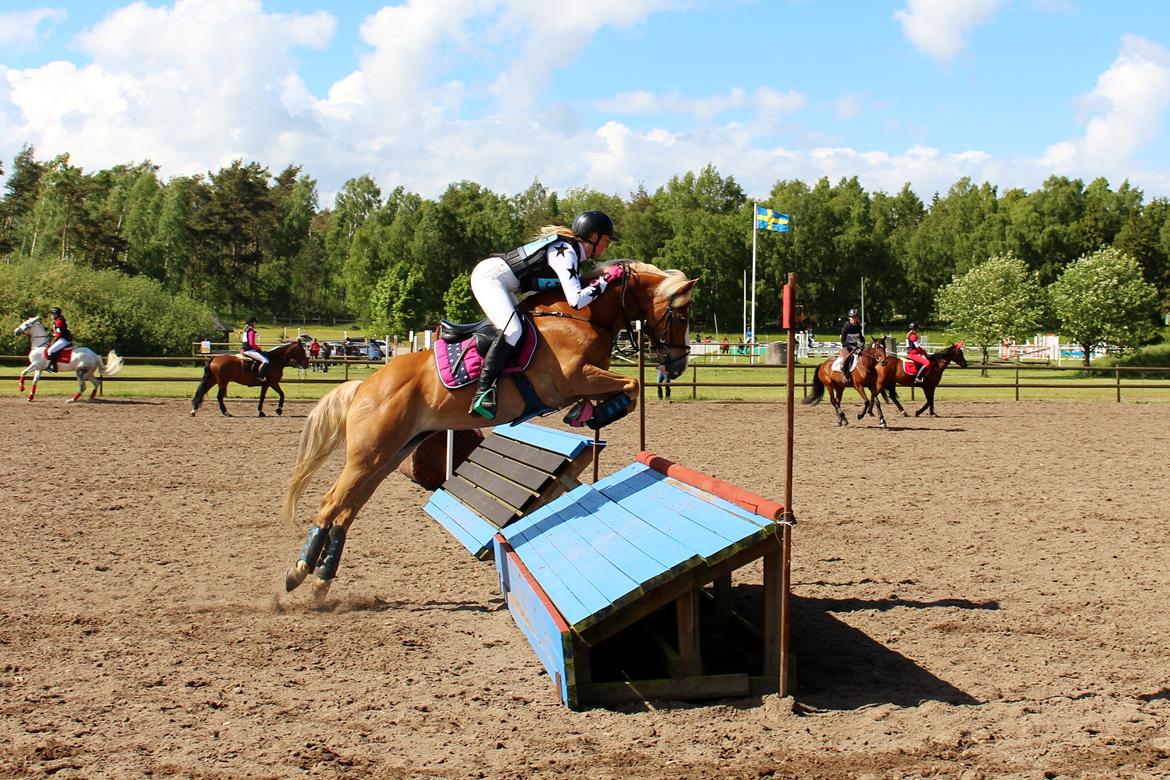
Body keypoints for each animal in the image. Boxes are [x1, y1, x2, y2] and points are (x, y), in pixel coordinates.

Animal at [278, 261, 697, 599]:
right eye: (681, 316)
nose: (676, 365)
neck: (580, 316)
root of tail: (365, 386)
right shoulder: (572, 378)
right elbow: (633, 385)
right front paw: (595, 413)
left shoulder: (584, 381)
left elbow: (626, 389)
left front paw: (590, 414)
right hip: (369, 455)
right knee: (331, 503)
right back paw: (298, 573)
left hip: (390, 455)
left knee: (346, 511)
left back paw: (320, 579)